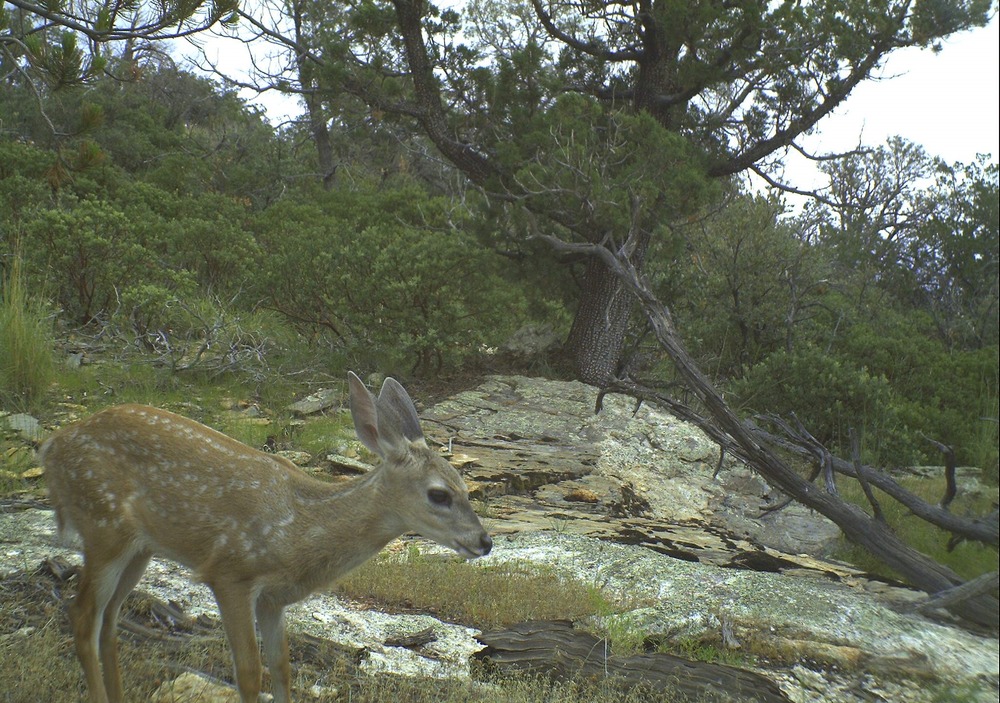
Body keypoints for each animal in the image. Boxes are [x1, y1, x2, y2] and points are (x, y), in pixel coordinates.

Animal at [40, 371, 492, 703]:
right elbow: (248, 671)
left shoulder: (274, 599)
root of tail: (51, 446)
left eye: (465, 485)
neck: (300, 529)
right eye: (439, 494)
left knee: (108, 622)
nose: (484, 541)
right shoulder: (230, 572)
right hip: (103, 524)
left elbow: (282, 668)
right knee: (83, 615)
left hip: (140, 548)